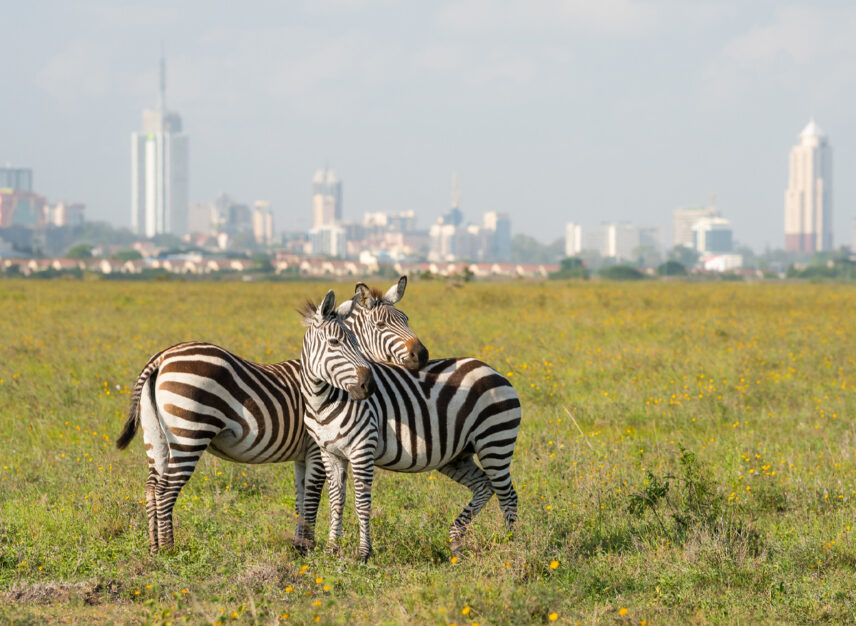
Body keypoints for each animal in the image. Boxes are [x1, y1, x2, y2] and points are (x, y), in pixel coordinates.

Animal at [115, 278, 424, 555]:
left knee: (152, 487)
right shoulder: (316, 448)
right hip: (189, 433)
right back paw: (169, 549)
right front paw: (308, 547)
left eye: (407, 319)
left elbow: (301, 498)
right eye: (382, 325)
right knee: (166, 490)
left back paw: (154, 547)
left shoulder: (302, 455)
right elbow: (312, 497)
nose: (422, 354)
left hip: (156, 437)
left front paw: (299, 546)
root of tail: (161, 358)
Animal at [299, 290, 521, 562]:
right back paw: (456, 541)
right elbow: (336, 501)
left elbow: (362, 503)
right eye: (334, 343)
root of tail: (493, 370)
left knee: (507, 495)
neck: (323, 401)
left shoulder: (362, 450)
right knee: (484, 486)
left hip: (495, 441)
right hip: (457, 456)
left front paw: (363, 554)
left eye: (355, 343)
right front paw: (332, 550)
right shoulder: (330, 452)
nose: (368, 386)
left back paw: (512, 547)